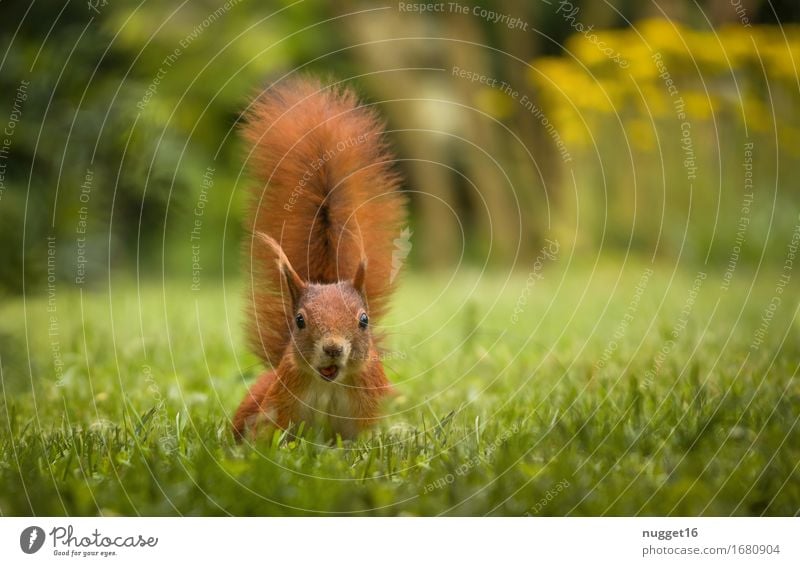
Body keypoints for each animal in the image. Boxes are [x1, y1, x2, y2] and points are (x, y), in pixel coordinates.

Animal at [231, 76, 406, 444]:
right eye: (299, 320)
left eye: (364, 320)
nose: (333, 348)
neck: (329, 381)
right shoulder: (280, 408)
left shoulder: (367, 412)